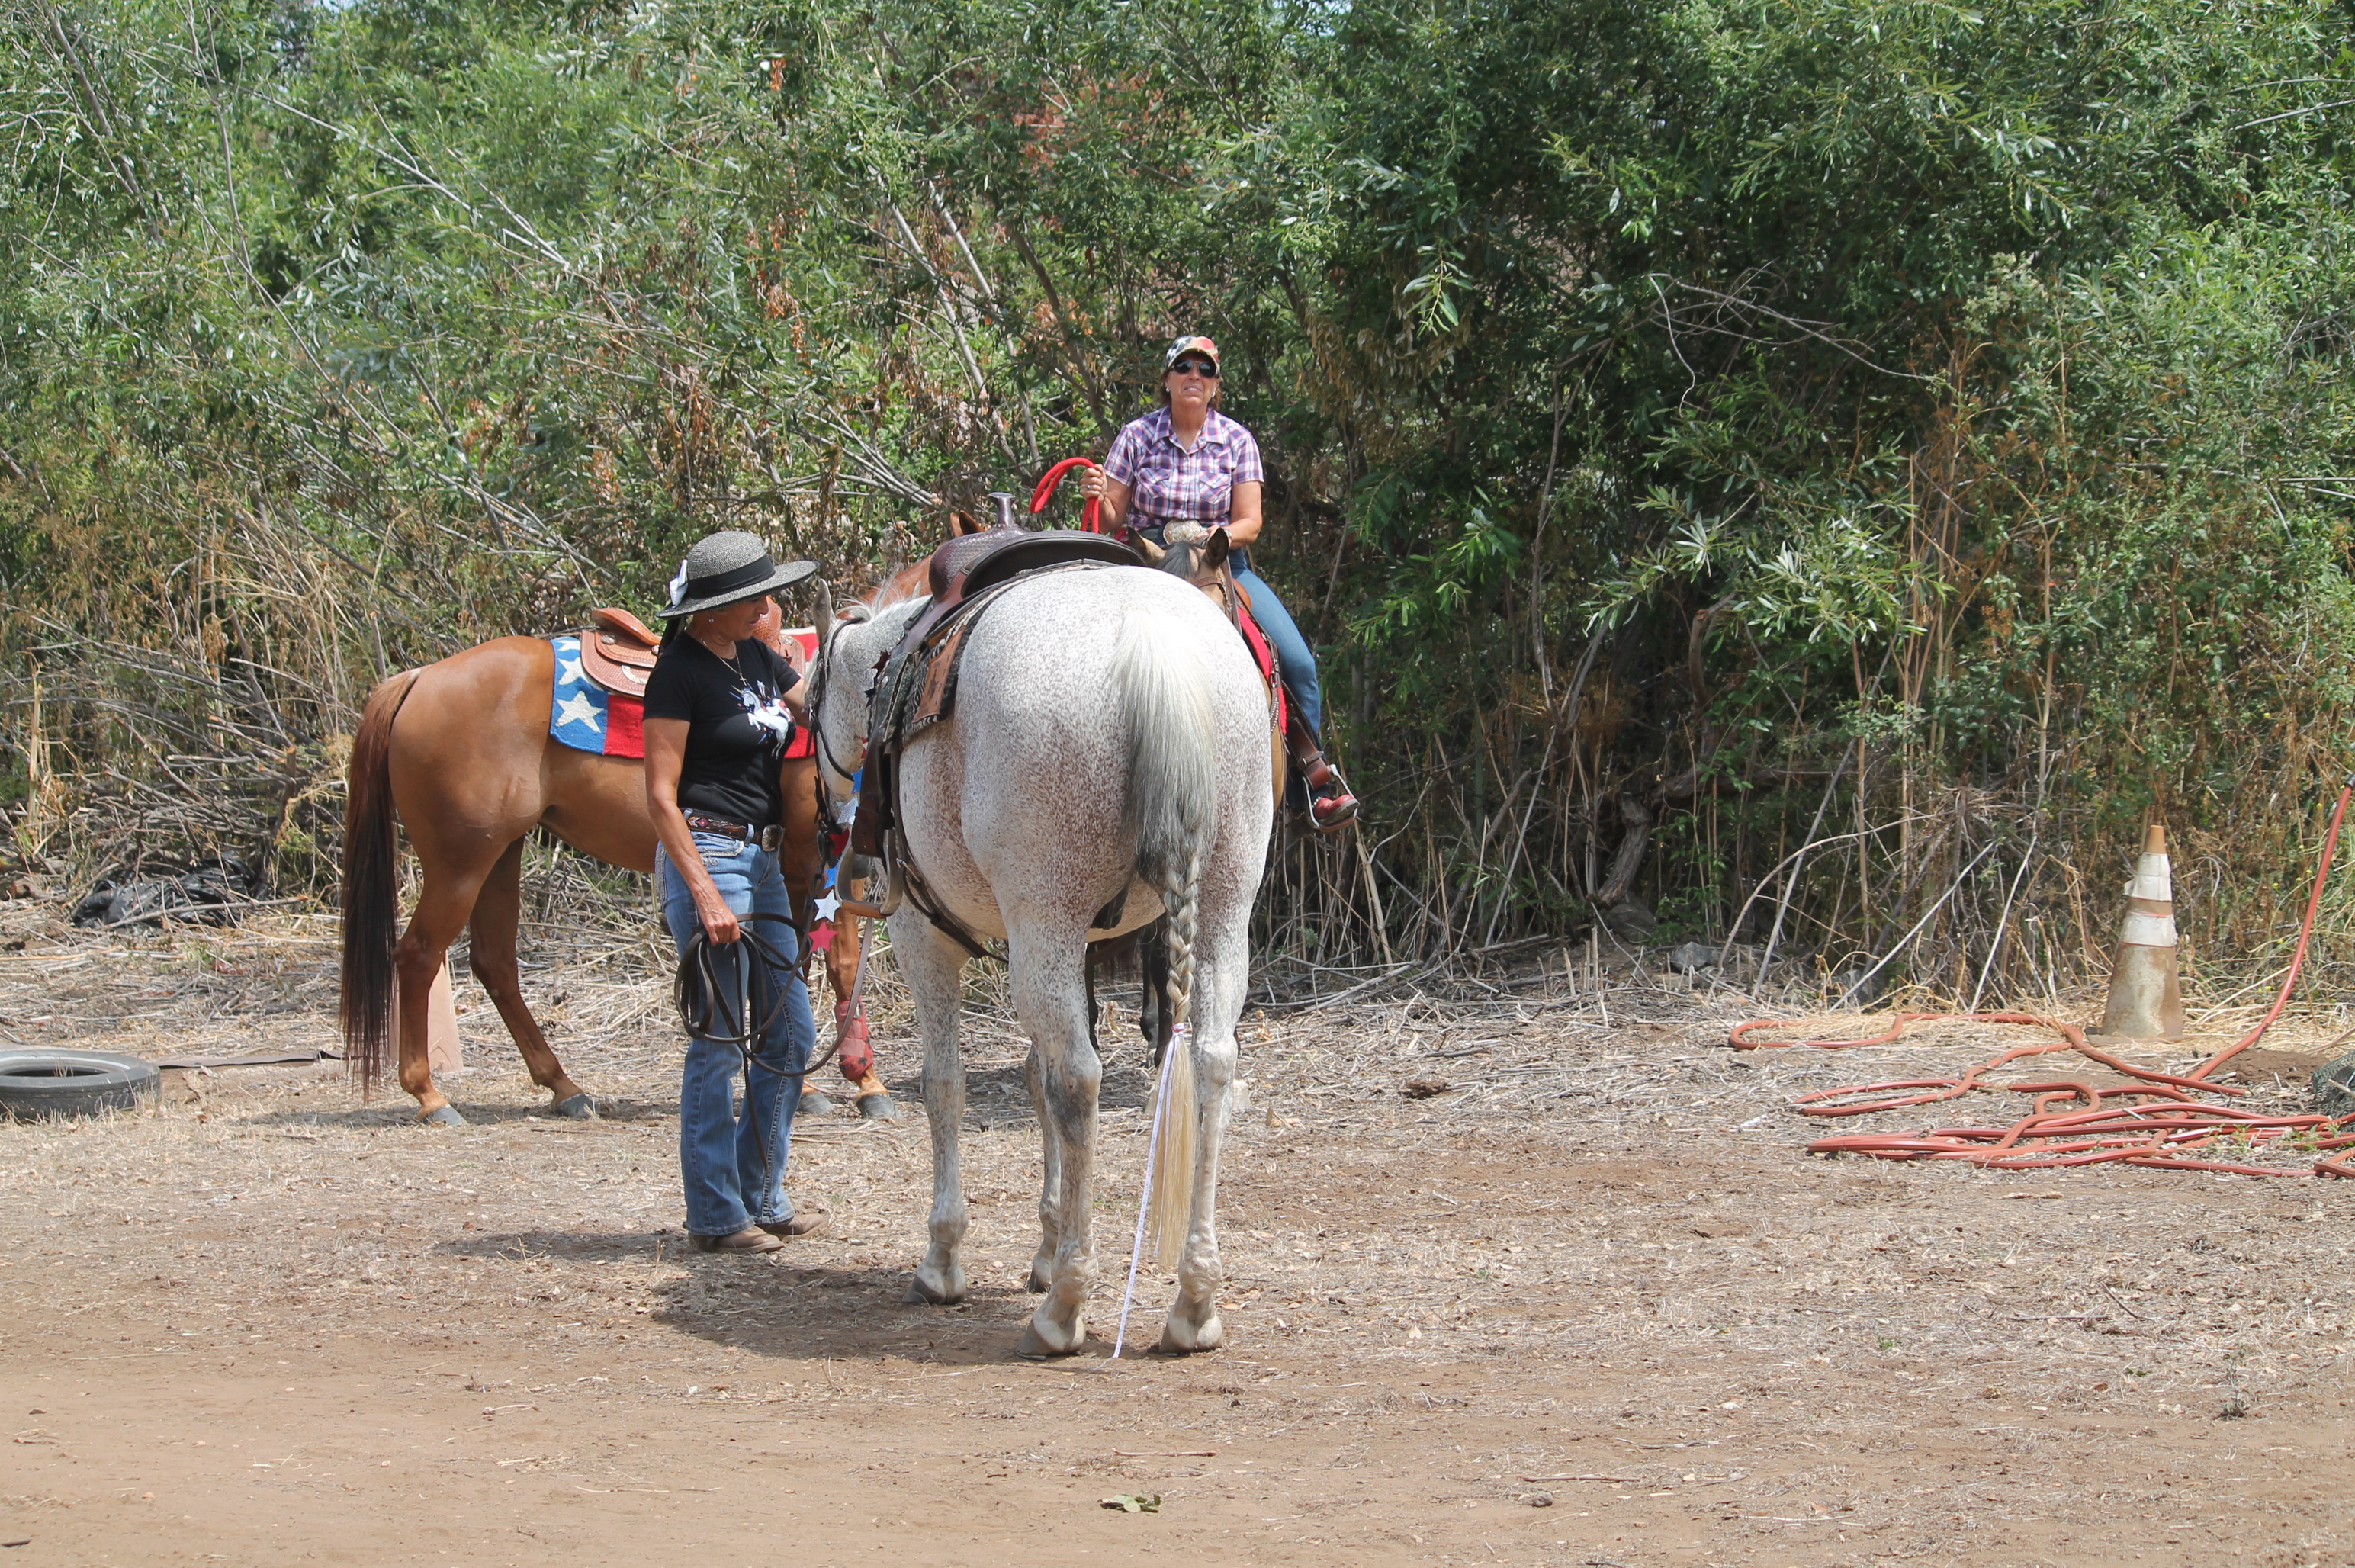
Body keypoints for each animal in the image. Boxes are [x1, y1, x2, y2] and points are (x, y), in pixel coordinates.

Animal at [341, 602, 866, 1116]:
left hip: (499, 855)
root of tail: (420, 678)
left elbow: (811, 968)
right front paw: (846, 1082)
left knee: (495, 964)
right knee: (418, 955)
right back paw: (429, 1095)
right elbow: (830, 965)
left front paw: (835, 1083)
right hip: (459, 866)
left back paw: (563, 1087)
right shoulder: (814, 865)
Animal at [819, 567, 1280, 1346]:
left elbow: (946, 1084)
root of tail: (1150, 638)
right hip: (1216, 914)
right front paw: (1045, 1240)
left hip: (1045, 920)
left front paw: (944, 1258)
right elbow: (1034, 1077)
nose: (824, 819)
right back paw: (1192, 1303)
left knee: (1078, 1081)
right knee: (1210, 1062)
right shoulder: (1056, 948)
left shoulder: (924, 937)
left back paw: (1065, 1306)